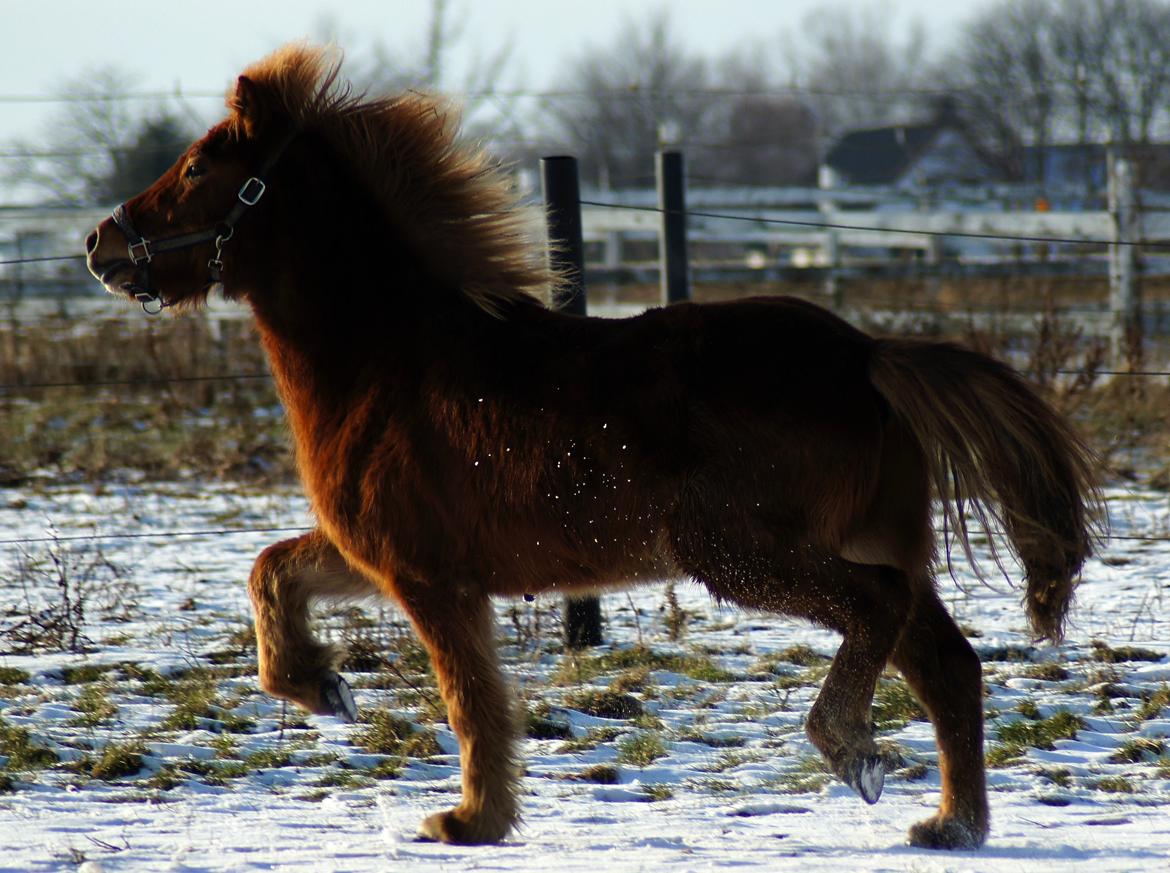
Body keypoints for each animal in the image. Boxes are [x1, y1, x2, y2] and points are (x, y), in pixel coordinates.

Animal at [86, 44, 1099, 847]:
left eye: (195, 168)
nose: (99, 244)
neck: (389, 360)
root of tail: (865, 353)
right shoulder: (372, 552)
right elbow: (272, 568)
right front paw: (320, 687)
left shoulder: (429, 578)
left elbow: (473, 703)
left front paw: (468, 820)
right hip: (868, 539)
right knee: (947, 665)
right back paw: (951, 824)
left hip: (740, 551)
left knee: (877, 609)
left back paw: (849, 747)